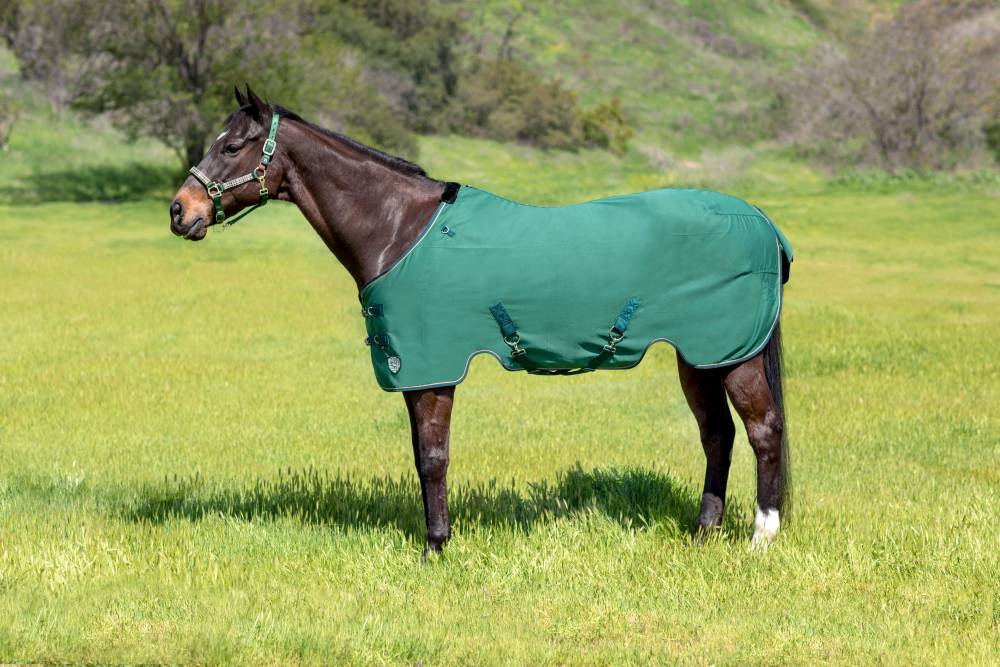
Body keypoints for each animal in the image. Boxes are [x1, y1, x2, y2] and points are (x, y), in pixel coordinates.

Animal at [169, 86, 791, 556]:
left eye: (232, 145)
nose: (180, 211)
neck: (399, 229)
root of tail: (763, 223)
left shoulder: (431, 369)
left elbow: (432, 459)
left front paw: (435, 547)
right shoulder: (414, 370)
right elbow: (423, 457)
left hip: (734, 356)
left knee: (763, 431)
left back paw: (762, 538)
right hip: (701, 357)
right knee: (717, 435)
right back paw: (703, 534)